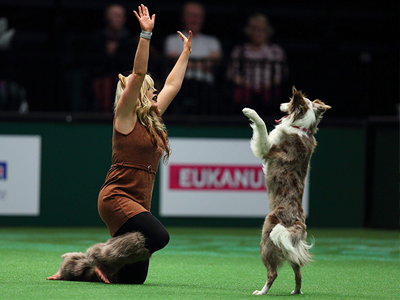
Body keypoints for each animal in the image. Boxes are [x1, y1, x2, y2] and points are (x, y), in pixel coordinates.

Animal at [244, 86, 332, 296]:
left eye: (289, 101)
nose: (280, 104)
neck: (301, 128)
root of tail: (297, 224)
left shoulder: (267, 148)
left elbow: (260, 125)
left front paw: (249, 111)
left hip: (267, 239)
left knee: (273, 273)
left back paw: (261, 292)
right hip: (291, 247)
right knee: (298, 272)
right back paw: (296, 292)